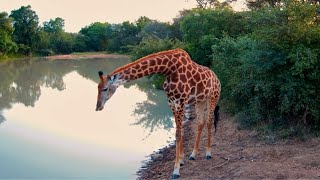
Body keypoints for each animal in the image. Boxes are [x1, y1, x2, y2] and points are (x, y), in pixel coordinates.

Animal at [95, 48, 220, 179]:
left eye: (105, 88)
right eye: (97, 87)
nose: (98, 107)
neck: (169, 69)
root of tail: (217, 78)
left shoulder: (180, 101)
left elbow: (178, 133)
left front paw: (176, 170)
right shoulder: (172, 102)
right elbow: (179, 131)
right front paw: (181, 161)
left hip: (213, 98)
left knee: (209, 121)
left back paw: (208, 153)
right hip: (200, 101)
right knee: (200, 123)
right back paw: (193, 154)